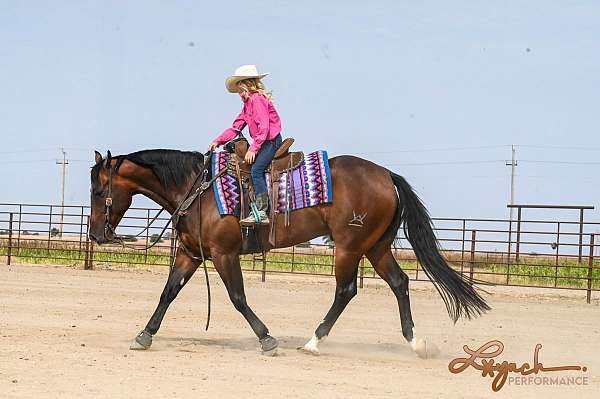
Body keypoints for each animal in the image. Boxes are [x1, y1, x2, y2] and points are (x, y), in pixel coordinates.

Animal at [89, 147, 490, 356]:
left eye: (98, 191)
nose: (95, 235)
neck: (197, 189)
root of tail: (386, 175)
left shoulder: (223, 254)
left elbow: (238, 298)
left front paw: (267, 338)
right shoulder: (191, 254)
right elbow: (168, 292)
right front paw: (144, 335)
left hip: (349, 247)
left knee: (346, 290)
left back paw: (314, 341)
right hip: (375, 247)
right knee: (399, 283)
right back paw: (414, 341)